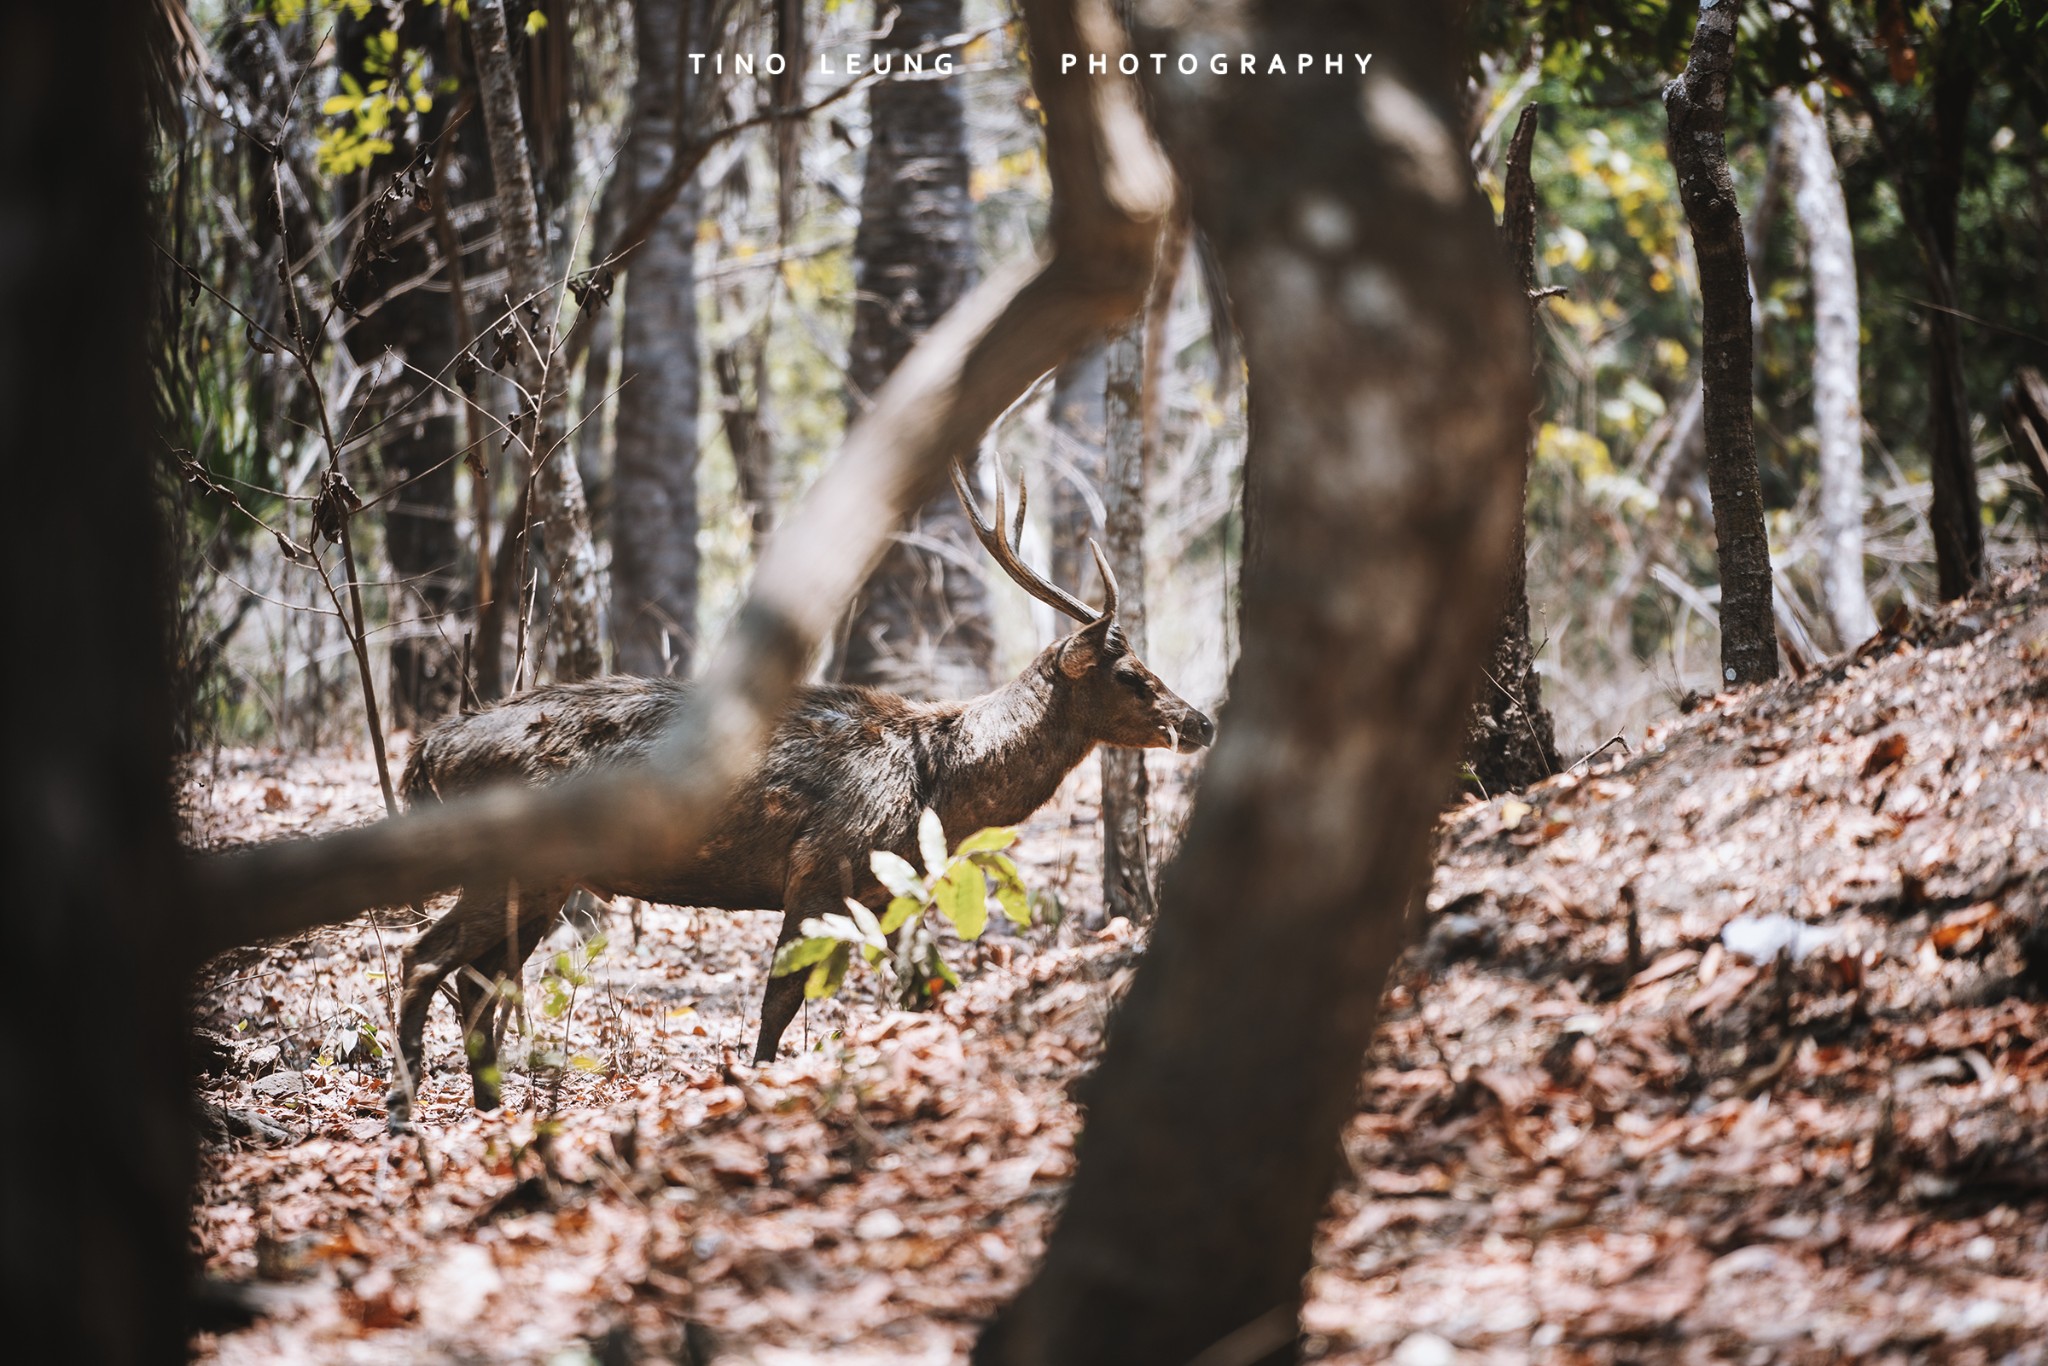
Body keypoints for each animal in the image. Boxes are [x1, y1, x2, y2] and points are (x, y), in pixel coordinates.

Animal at [385, 464, 1212, 1130]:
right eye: (1130, 674)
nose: (1200, 721)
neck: (938, 782)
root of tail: (429, 751)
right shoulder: (820, 869)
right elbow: (780, 1001)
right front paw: (753, 1089)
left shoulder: (887, 891)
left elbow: (921, 991)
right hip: (511, 868)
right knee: (424, 959)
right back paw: (404, 1110)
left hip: (543, 884)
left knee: (477, 984)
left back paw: (492, 1113)